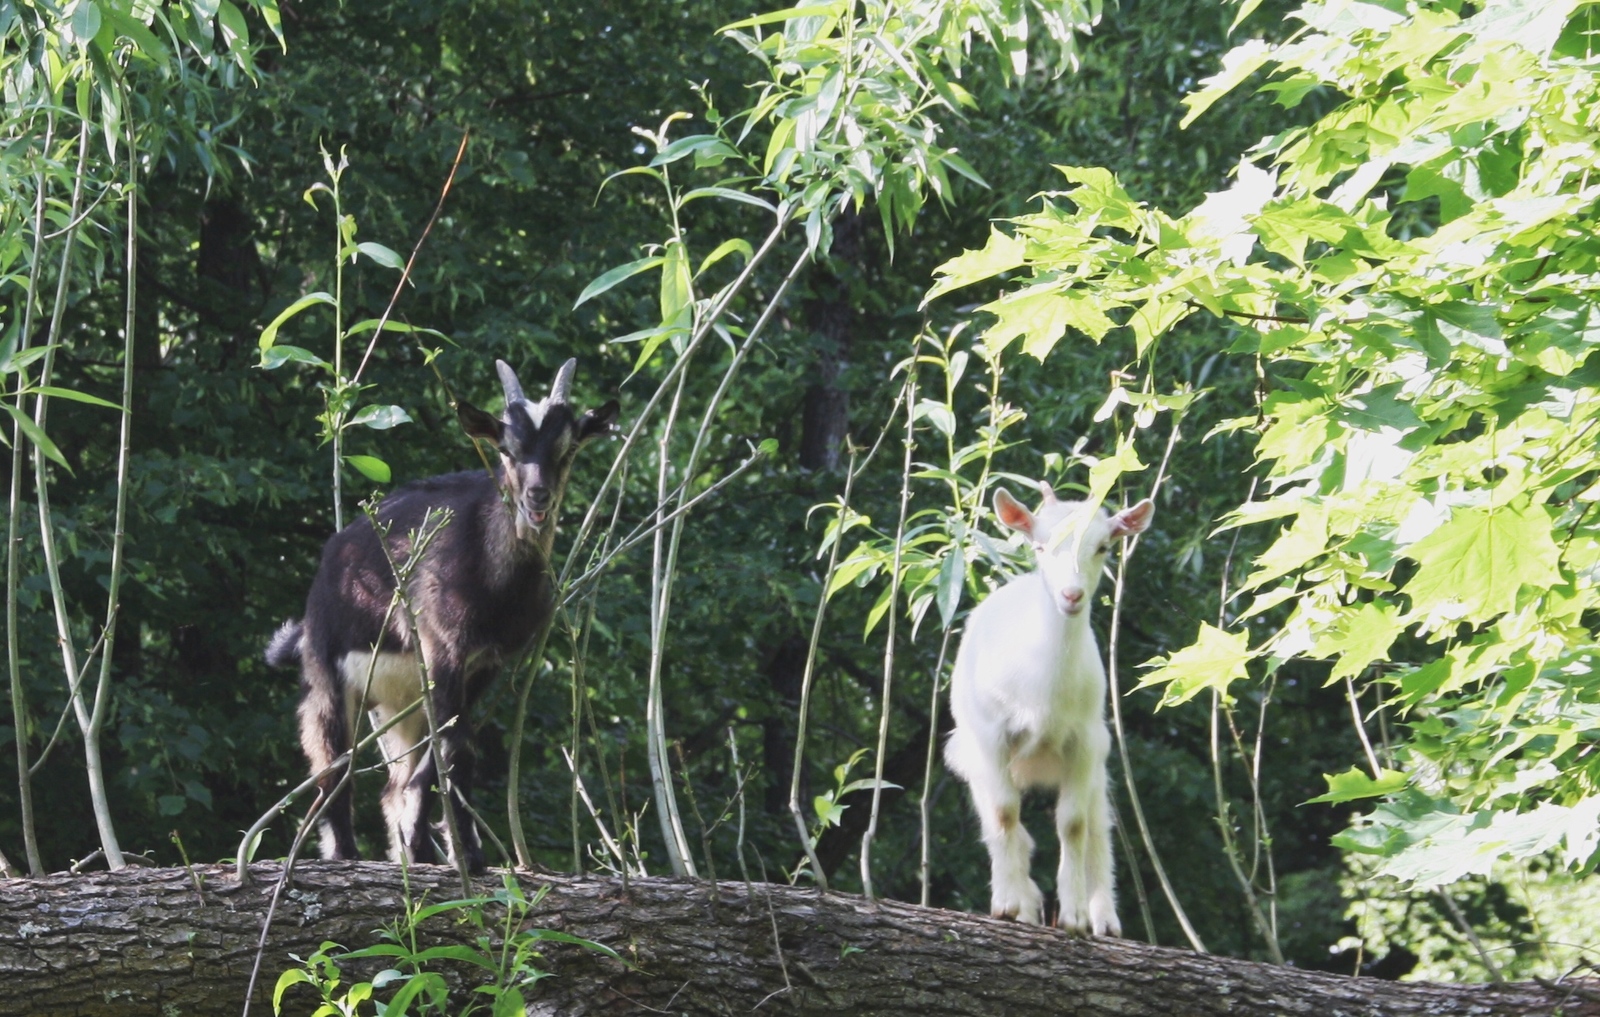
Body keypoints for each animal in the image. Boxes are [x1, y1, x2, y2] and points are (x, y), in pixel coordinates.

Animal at [265, 358, 614, 863]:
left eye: (566, 449)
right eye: (506, 448)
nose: (537, 497)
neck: (494, 584)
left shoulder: (484, 664)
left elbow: (444, 753)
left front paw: (450, 850)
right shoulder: (442, 645)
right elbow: (456, 747)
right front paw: (464, 852)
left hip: (399, 701)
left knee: (394, 783)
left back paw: (411, 852)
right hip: (327, 671)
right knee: (332, 767)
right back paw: (345, 853)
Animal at [940, 486, 1158, 940]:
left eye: (1103, 547)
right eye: (1040, 546)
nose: (1071, 596)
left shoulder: (1085, 742)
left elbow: (1074, 823)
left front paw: (1074, 916)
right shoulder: (991, 735)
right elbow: (1004, 814)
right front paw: (1008, 905)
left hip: (1097, 763)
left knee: (1098, 825)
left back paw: (1105, 918)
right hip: (970, 754)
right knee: (999, 820)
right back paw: (1023, 901)